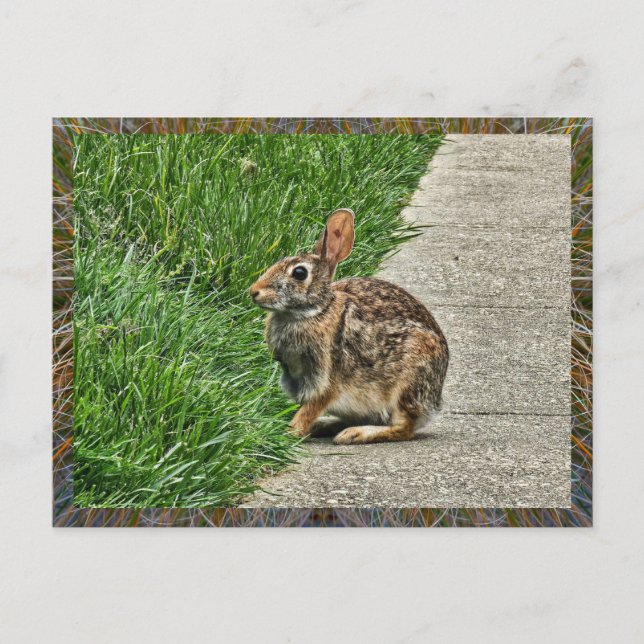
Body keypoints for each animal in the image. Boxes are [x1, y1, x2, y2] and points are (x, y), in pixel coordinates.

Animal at [249, 208, 449, 445]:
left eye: (299, 273)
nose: (254, 291)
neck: (316, 310)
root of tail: (434, 404)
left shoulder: (325, 380)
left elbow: (309, 410)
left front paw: (288, 433)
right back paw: (326, 426)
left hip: (408, 381)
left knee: (403, 428)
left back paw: (354, 433)